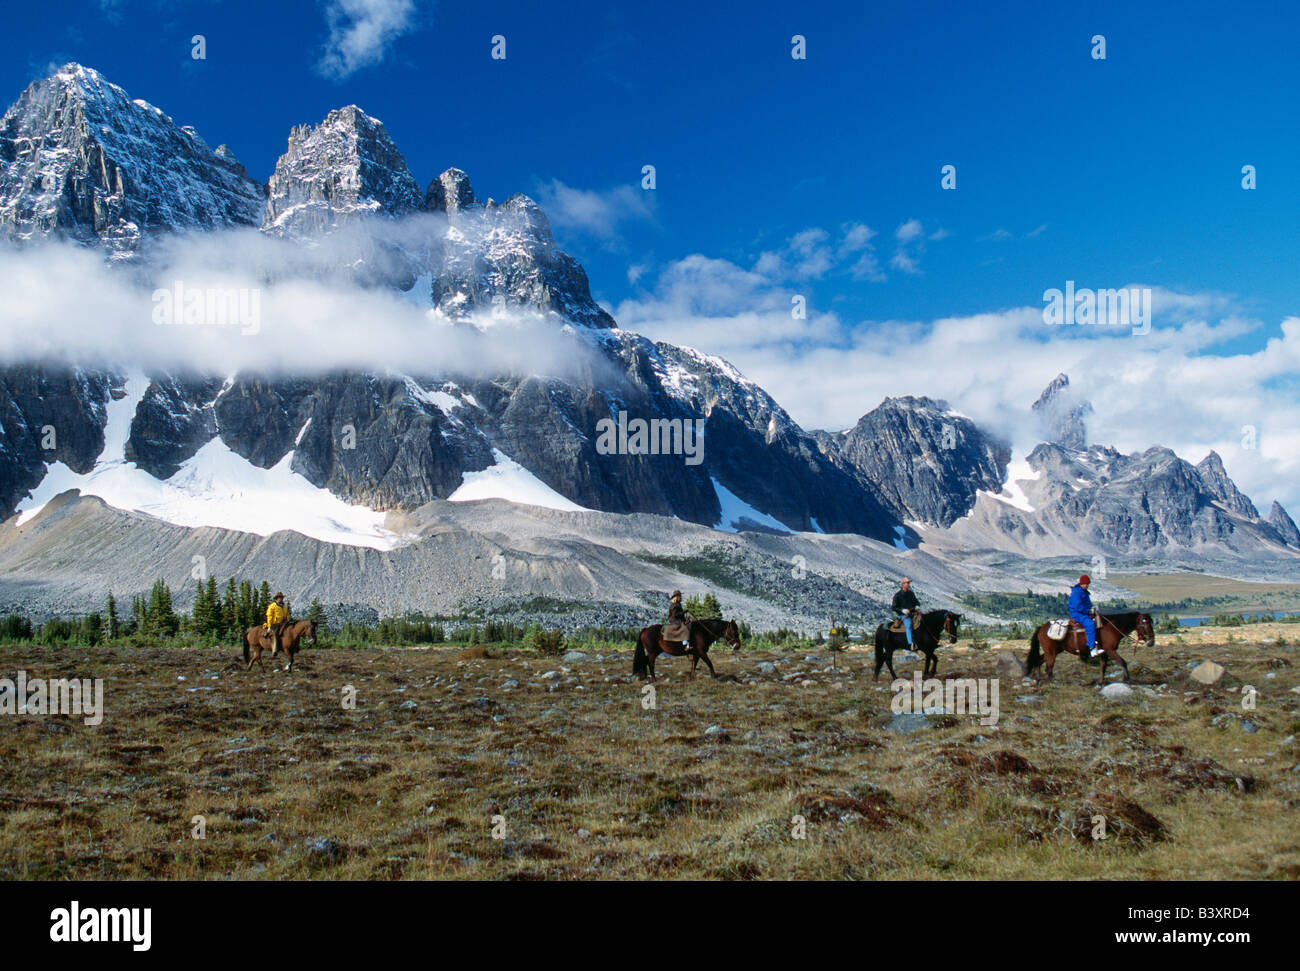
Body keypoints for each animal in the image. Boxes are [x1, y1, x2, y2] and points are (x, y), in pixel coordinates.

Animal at [1024, 610, 1159, 686]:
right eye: (1144, 624)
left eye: (1151, 623)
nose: (1151, 642)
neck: (1112, 627)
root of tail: (1041, 628)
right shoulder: (1110, 650)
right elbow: (1122, 662)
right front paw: (1127, 679)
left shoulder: (1105, 653)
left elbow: (1103, 667)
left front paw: (1100, 682)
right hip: (1051, 652)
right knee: (1048, 667)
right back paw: (1053, 682)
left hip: (1054, 651)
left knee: (1038, 661)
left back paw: (1038, 679)